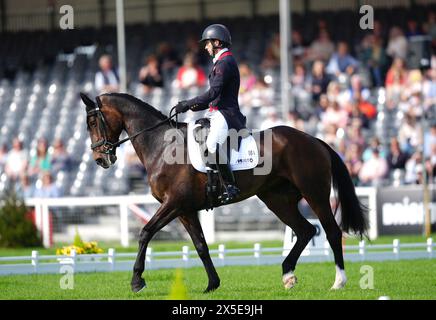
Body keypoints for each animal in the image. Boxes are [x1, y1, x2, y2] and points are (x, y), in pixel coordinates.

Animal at [80, 92, 366, 292]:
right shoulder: (185, 210)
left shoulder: (173, 204)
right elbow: (201, 246)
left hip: (314, 194)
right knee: (306, 230)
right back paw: (288, 275)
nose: (100, 159)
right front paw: (212, 284)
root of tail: (313, 140)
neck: (162, 146)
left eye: (93, 121)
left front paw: (137, 281)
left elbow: (145, 233)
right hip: (277, 199)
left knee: (331, 231)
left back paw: (338, 282)